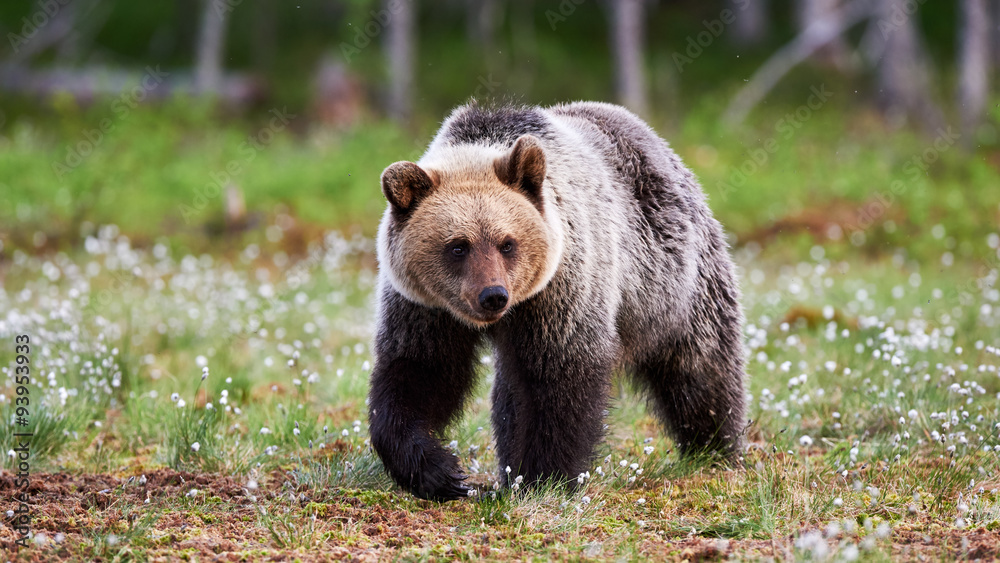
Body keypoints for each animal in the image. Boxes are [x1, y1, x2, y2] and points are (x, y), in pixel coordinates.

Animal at [368, 101, 746, 501]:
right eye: (458, 246)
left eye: (507, 243)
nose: (492, 296)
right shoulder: (425, 306)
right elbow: (420, 372)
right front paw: (440, 472)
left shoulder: (561, 291)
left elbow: (560, 380)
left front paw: (544, 477)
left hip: (674, 283)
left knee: (701, 370)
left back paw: (715, 448)